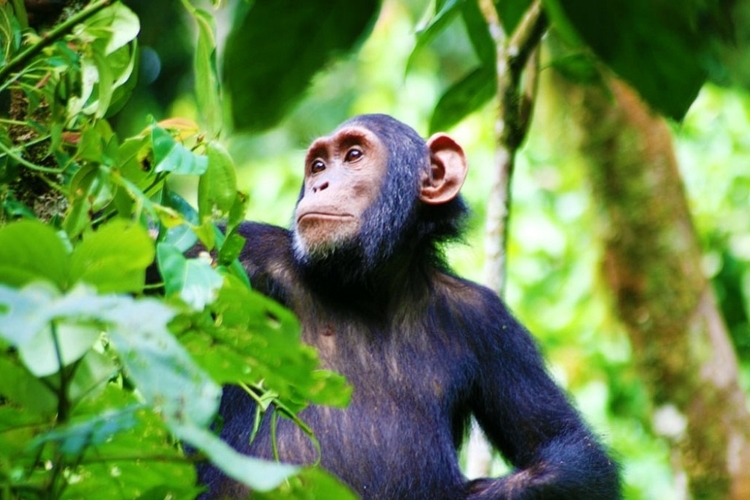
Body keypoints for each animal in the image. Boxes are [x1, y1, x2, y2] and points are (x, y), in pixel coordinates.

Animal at [197, 114, 620, 500]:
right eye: (317, 165)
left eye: (353, 155)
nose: (319, 183)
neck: (370, 286)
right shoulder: (243, 252)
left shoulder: (489, 321)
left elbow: (570, 451)